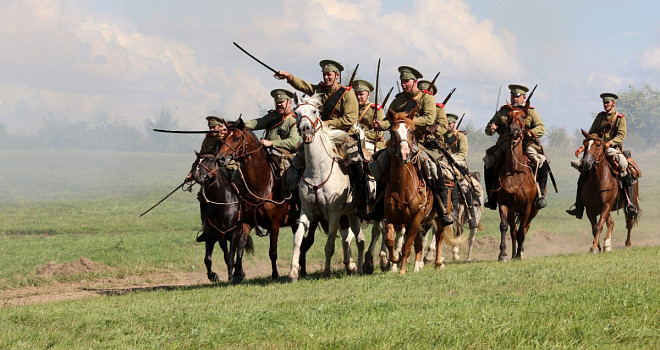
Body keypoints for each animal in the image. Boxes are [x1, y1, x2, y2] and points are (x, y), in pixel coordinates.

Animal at [188, 151, 245, 282]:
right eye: (196, 161)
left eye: (210, 161)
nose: (196, 174)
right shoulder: (211, 236)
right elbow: (208, 259)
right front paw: (213, 276)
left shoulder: (235, 235)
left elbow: (232, 259)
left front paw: (232, 278)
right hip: (222, 239)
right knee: (227, 255)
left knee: (240, 251)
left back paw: (239, 273)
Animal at [217, 119, 300, 284]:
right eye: (225, 137)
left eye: (237, 138)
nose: (220, 159)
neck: (262, 185)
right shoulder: (246, 222)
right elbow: (240, 248)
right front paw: (237, 274)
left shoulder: (274, 225)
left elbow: (272, 252)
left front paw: (275, 275)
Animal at [288, 94, 366, 280]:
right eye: (296, 113)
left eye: (314, 111)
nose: (305, 128)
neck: (318, 172)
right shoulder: (307, 212)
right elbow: (297, 239)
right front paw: (293, 271)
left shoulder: (334, 214)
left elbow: (330, 244)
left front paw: (326, 271)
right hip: (351, 214)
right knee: (359, 239)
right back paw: (358, 268)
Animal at [492, 105, 540, 262]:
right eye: (508, 115)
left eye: (524, 116)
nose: (512, 130)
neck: (514, 171)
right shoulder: (504, 204)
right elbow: (504, 226)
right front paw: (503, 254)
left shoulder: (527, 207)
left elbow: (521, 231)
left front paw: (519, 254)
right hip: (513, 211)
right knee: (513, 230)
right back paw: (513, 253)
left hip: (534, 210)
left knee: (524, 228)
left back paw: (521, 252)